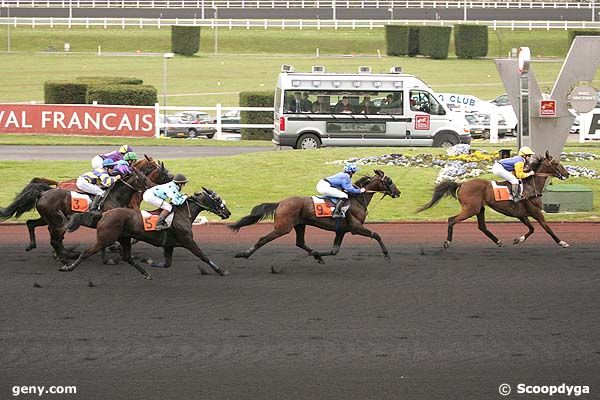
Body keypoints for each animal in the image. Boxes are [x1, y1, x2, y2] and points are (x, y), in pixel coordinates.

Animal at [59, 189, 232, 280]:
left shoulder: (169, 245)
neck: (183, 214)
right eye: (217, 200)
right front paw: (221, 271)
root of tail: (104, 214)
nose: (228, 213)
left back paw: (146, 273)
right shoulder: (188, 241)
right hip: (105, 239)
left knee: (127, 257)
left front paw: (149, 261)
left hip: (124, 238)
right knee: (86, 252)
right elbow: (203, 256)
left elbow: (167, 263)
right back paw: (68, 267)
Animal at [231, 170, 404, 264]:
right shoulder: (356, 228)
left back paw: (315, 255)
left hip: (300, 224)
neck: (357, 200)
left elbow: (334, 251)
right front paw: (387, 255)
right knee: (263, 239)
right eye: (389, 181)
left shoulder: (341, 231)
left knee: (300, 242)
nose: (398, 192)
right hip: (283, 227)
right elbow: (376, 235)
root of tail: (280, 203)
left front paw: (318, 256)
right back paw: (244, 254)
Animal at [418, 152, 572, 248]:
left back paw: (498, 241)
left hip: (479, 209)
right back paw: (447, 242)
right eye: (556, 163)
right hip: (470, 209)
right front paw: (562, 242)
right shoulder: (536, 212)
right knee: (452, 220)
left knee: (482, 226)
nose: (567, 174)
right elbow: (547, 228)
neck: (531, 187)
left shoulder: (521, 214)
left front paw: (518, 240)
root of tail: (462, 183)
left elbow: (532, 228)